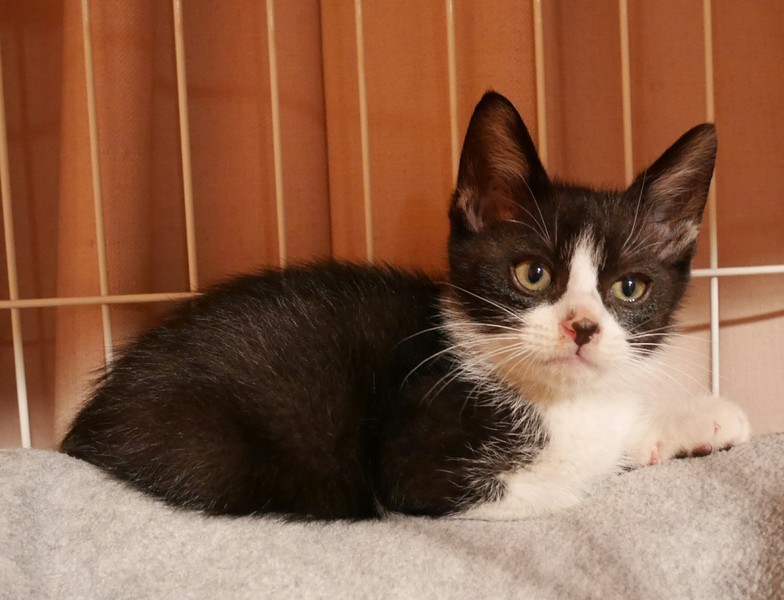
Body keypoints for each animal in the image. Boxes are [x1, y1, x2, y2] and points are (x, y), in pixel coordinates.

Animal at [61, 91, 750, 521]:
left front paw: (696, 421)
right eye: (532, 275)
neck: (553, 400)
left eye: (629, 289)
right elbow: (578, 477)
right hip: (214, 453)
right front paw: (637, 445)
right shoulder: (421, 464)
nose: (581, 328)